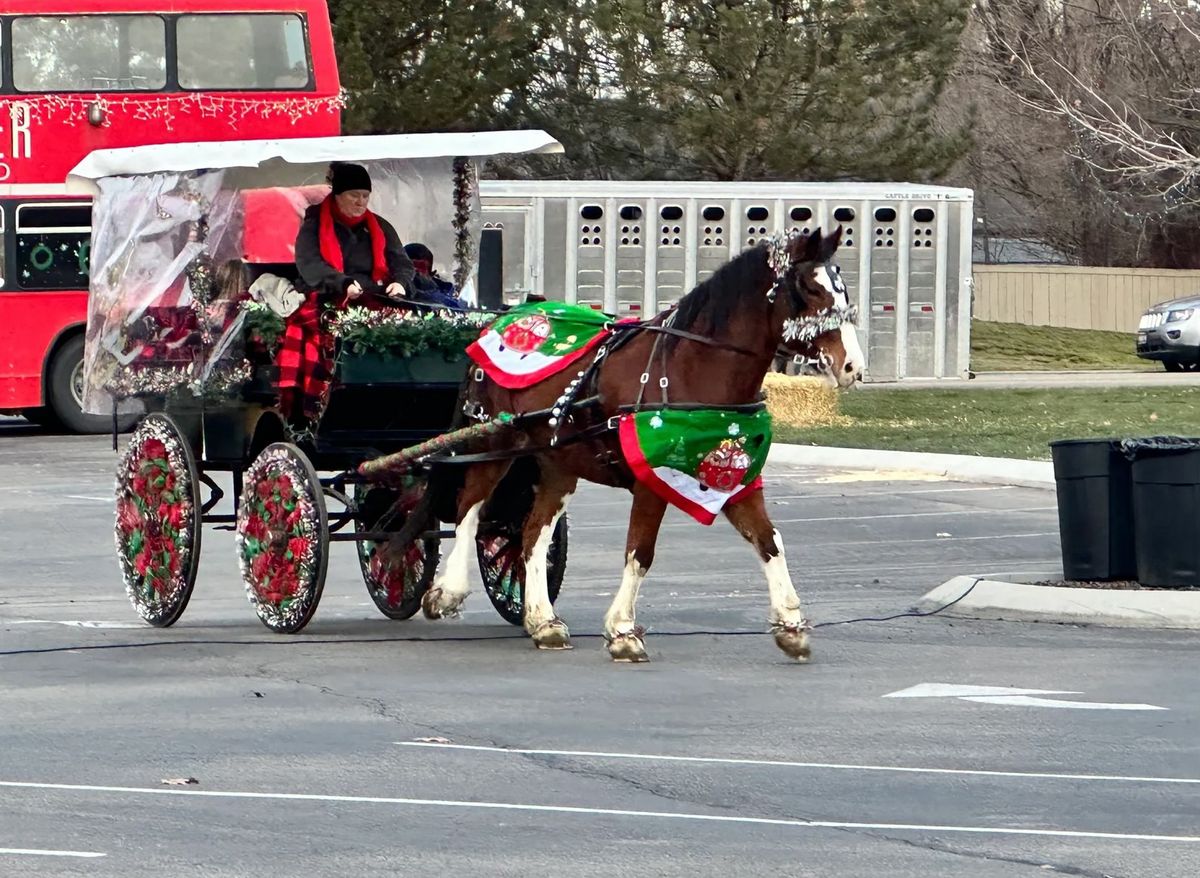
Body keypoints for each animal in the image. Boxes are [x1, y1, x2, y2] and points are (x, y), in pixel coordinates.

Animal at [422, 230, 864, 662]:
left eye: (841, 289)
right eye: (810, 289)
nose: (853, 367)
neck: (693, 367)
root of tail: (502, 318)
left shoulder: (735, 476)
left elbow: (769, 542)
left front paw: (791, 626)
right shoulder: (653, 481)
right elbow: (640, 552)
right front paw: (622, 631)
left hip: (558, 463)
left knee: (532, 534)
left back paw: (543, 621)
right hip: (494, 439)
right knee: (470, 509)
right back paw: (448, 590)